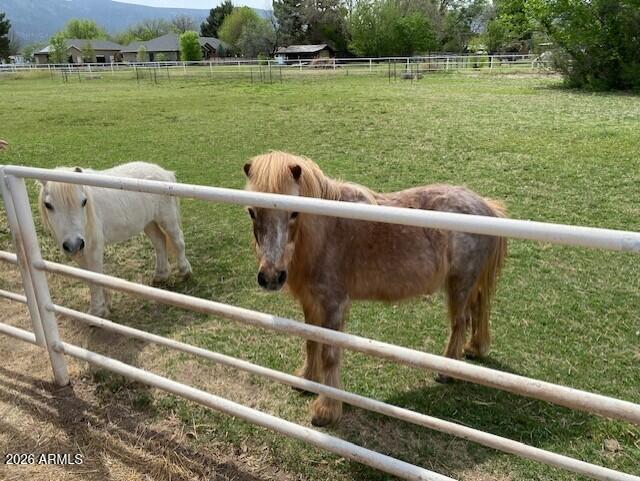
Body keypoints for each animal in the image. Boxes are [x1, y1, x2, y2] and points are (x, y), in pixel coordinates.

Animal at [38, 162, 192, 317]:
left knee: (178, 241)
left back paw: (185, 271)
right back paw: (161, 275)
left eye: (84, 201)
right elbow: (90, 276)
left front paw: (96, 312)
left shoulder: (93, 248)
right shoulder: (79, 253)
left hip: (167, 218)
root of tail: (164, 172)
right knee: (159, 241)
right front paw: (105, 304)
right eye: (48, 205)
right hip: (148, 223)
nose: (74, 244)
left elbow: (94, 276)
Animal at [243, 151, 507, 427]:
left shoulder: (333, 305)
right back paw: (474, 349)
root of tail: (487, 207)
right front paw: (306, 379)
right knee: (477, 309)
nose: (271, 277)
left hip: (459, 283)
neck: (328, 231)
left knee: (460, 322)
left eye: (295, 212)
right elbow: (312, 341)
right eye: (252, 211)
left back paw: (446, 372)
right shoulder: (312, 302)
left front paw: (325, 410)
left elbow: (329, 354)